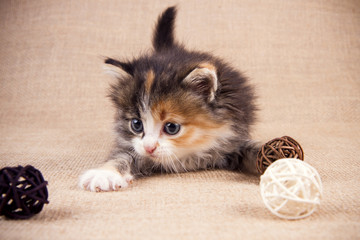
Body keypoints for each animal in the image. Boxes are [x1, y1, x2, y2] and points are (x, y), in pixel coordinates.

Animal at [79, 6, 258, 192]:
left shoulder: (234, 138)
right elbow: (122, 155)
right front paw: (105, 173)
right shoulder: (134, 147)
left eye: (172, 127)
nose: (149, 148)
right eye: (136, 124)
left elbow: (255, 150)